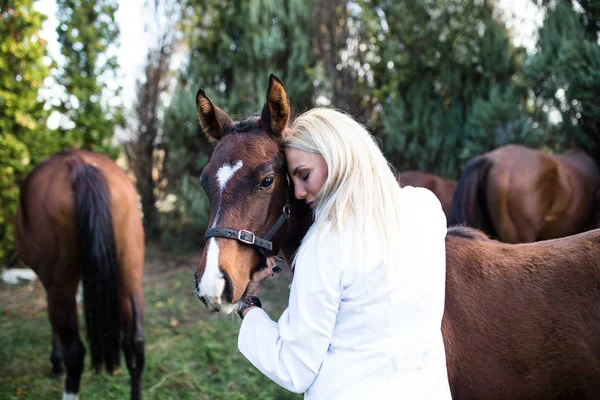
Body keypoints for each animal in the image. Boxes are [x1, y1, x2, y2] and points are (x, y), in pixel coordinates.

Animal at [14, 149, 146, 396]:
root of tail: (78, 164)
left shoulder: (51, 281)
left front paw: (56, 364)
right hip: (131, 271)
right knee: (135, 343)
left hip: (61, 283)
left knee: (75, 354)